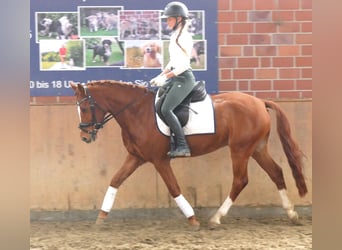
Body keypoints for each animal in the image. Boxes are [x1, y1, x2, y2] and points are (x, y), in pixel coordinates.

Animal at [71, 80, 308, 229]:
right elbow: (115, 181)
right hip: (257, 148)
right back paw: (292, 214)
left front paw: (193, 219)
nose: (84, 137)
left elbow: (174, 188)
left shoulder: (159, 160)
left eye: (85, 109)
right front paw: (101, 218)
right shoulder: (136, 157)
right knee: (276, 173)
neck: (137, 112)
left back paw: (216, 218)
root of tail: (260, 102)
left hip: (240, 150)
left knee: (240, 180)